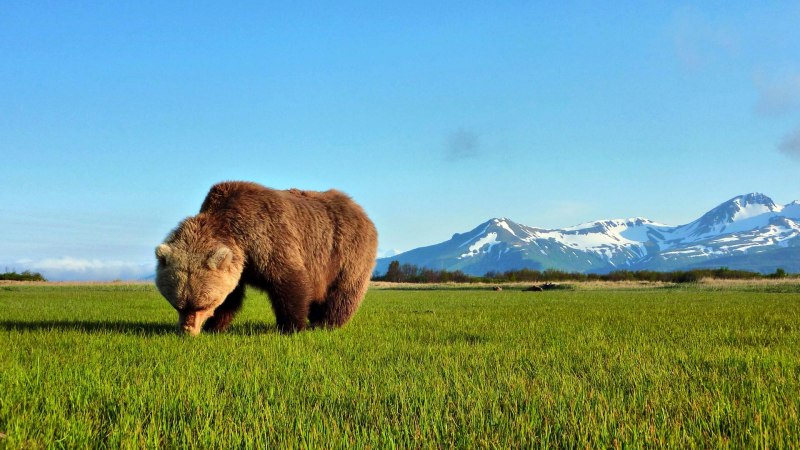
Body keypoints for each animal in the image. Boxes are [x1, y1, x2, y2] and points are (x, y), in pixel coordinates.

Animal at [155, 181, 378, 335]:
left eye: (202, 304)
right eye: (177, 304)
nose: (187, 331)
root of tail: (358, 208)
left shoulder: (268, 239)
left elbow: (289, 283)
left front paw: (291, 327)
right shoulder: (240, 266)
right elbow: (231, 297)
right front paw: (214, 326)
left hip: (346, 252)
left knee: (343, 292)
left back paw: (325, 324)